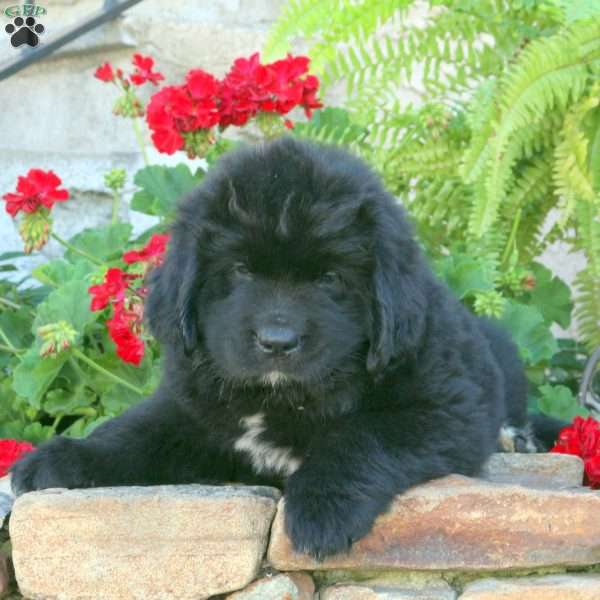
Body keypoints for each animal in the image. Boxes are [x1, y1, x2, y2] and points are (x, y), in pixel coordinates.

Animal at [10, 138, 536, 560]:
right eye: (241, 269)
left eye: (330, 278)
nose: (277, 342)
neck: (276, 398)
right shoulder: (189, 411)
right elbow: (130, 434)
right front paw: (61, 458)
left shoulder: (443, 410)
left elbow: (362, 437)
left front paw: (322, 508)